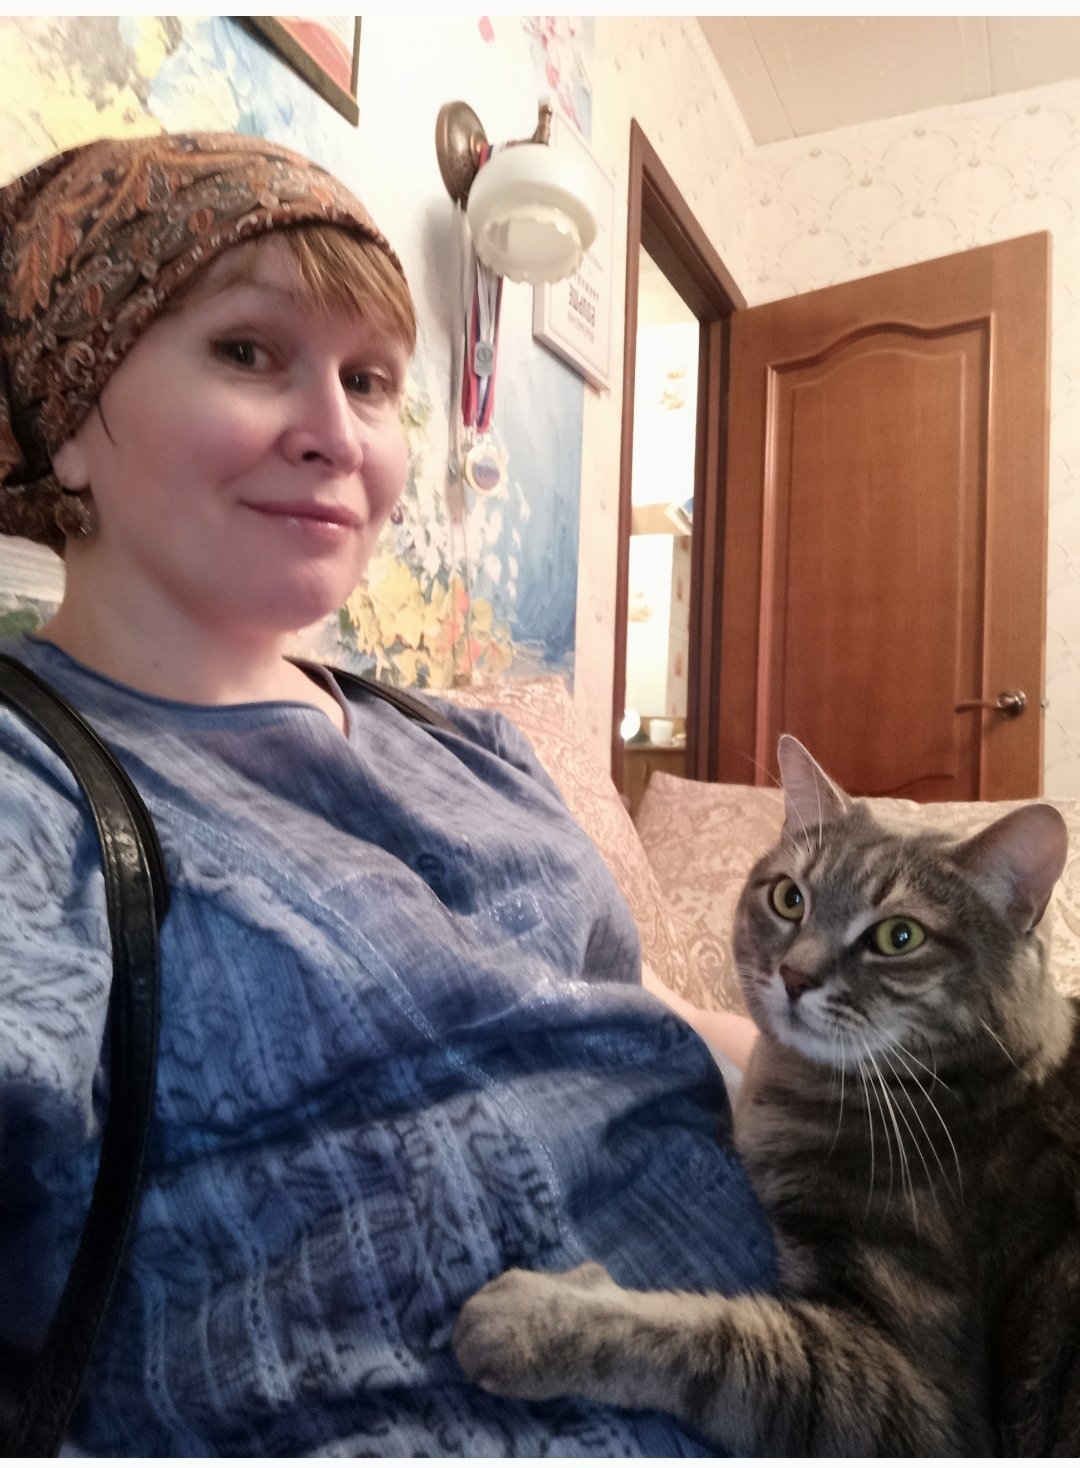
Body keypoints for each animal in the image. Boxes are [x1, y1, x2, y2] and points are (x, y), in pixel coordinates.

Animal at [453, 735, 1080, 1454]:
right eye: (789, 898)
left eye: (899, 936)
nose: (795, 975)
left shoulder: (923, 1393)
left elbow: (722, 1346)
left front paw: (533, 1318)